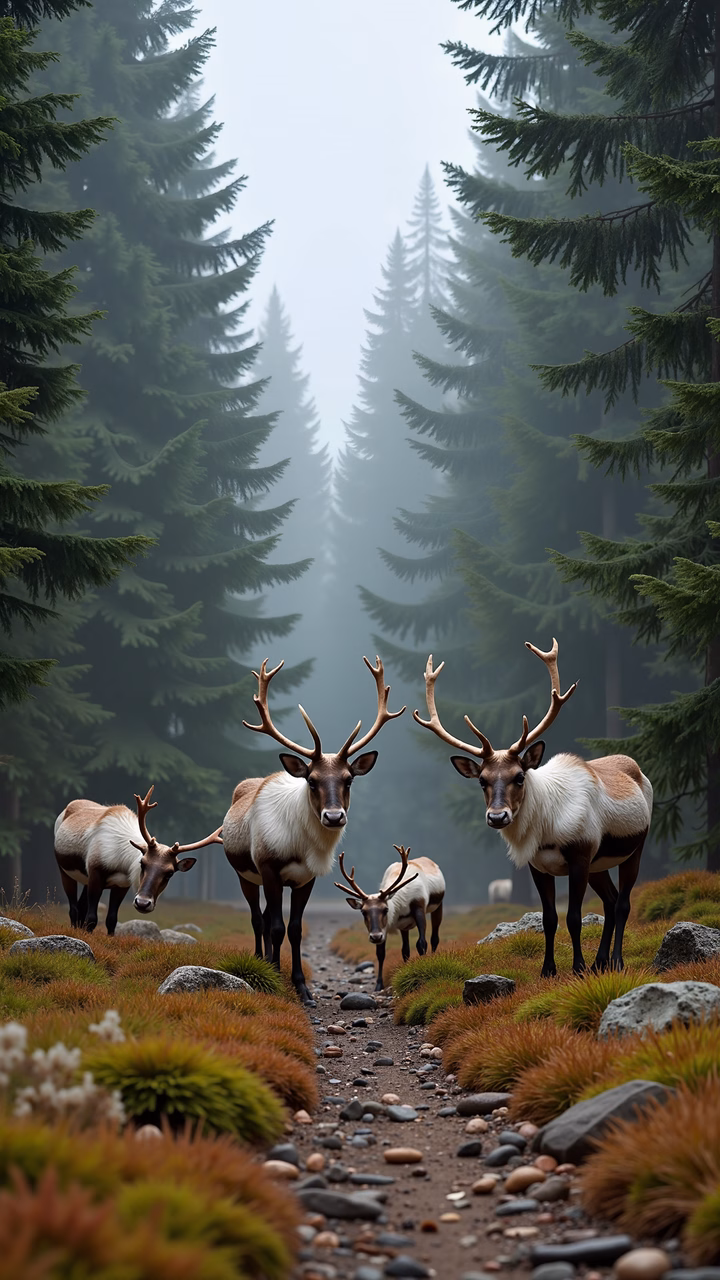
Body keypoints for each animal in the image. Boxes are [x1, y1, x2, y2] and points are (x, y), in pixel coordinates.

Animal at [54, 787, 223, 934]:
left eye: (170, 873)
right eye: (142, 863)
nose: (142, 903)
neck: (121, 863)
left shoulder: (122, 884)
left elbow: (111, 920)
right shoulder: (95, 873)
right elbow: (92, 919)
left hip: (85, 880)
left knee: (80, 906)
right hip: (64, 870)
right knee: (74, 908)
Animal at [222, 655, 405, 1004]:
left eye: (349, 779)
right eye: (311, 779)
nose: (333, 817)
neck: (298, 848)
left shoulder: (306, 878)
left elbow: (294, 929)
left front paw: (303, 988)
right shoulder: (268, 868)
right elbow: (276, 927)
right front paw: (276, 980)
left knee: (266, 918)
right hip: (244, 874)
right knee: (257, 919)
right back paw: (260, 961)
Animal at [335, 845, 445, 991]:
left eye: (385, 909)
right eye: (363, 912)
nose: (375, 937)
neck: (402, 905)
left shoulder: (419, 907)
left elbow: (421, 943)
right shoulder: (385, 927)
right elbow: (381, 953)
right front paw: (379, 984)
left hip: (438, 906)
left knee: (434, 938)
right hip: (404, 926)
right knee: (405, 949)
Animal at [413, 639, 653, 976]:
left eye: (519, 776)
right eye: (482, 780)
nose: (497, 816)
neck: (547, 830)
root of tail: (637, 769)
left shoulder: (580, 854)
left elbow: (574, 918)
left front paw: (577, 968)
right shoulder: (537, 865)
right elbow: (549, 919)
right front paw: (548, 969)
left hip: (635, 846)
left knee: (622, 902)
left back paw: (615, 961)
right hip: (599, 863)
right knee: (610, 899)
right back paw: (600, 962)